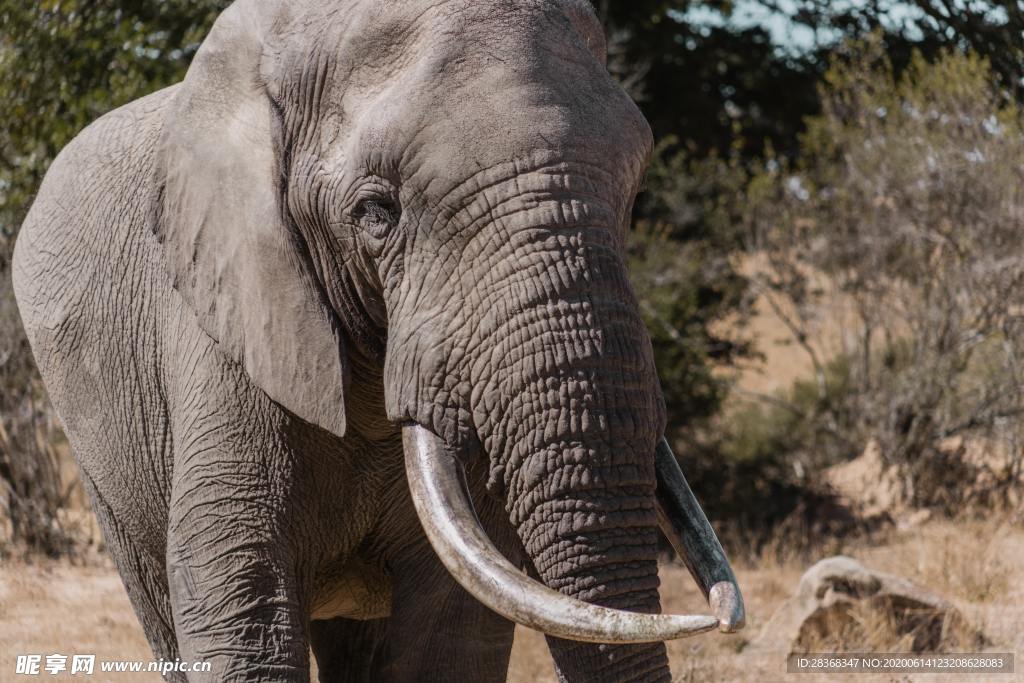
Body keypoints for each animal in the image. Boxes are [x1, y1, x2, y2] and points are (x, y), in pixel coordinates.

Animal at [12, 0, 744, 681]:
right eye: (376, 213)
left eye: (633, 193)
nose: (714, 621)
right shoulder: (225, 319)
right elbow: (242, 603)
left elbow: (445, 635)